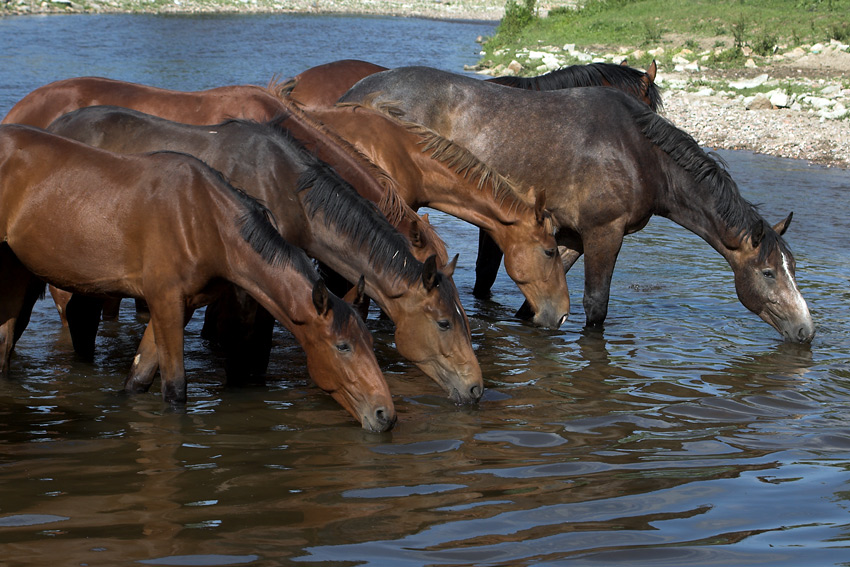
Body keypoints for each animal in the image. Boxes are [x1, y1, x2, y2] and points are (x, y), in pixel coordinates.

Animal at [0, 124, 398, 430]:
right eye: (342, 346)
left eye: (369, 342)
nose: (385, 415)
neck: (204, 219)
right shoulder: (165, 303)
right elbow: (175, 390)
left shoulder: (181, 306)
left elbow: (137, 380)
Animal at [48, 106, 484, 406]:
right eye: (444, 322)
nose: (476, 387)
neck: (285, 185)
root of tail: (54, 126)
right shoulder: (248, 283)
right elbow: (248, 345)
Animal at [338, 66, 816, 342]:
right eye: (769, 273)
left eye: (793, 269)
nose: (806, 330)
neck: (638, 154)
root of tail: (351, 94)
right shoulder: (605, 233)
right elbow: (595, 306)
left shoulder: (567, 237)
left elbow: (537, 304)